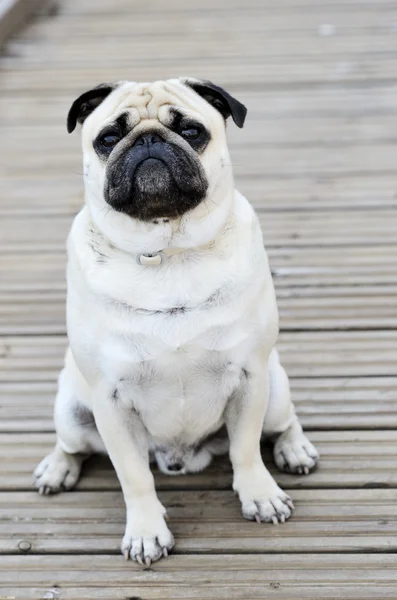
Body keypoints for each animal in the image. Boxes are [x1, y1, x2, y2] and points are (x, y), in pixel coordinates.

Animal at [34, 77, 318, 564]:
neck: (166, 250)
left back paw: (295, 448)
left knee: (282, 423)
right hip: (71, 412)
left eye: (191, 131)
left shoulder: (250, 377)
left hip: (275, 387)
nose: (149, 140)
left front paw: (260, 495)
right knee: (73, 446)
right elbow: (134, 477)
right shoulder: (110, 400)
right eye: (108, 138)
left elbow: (246, 450)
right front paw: (146, 531)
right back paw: (56, 467)